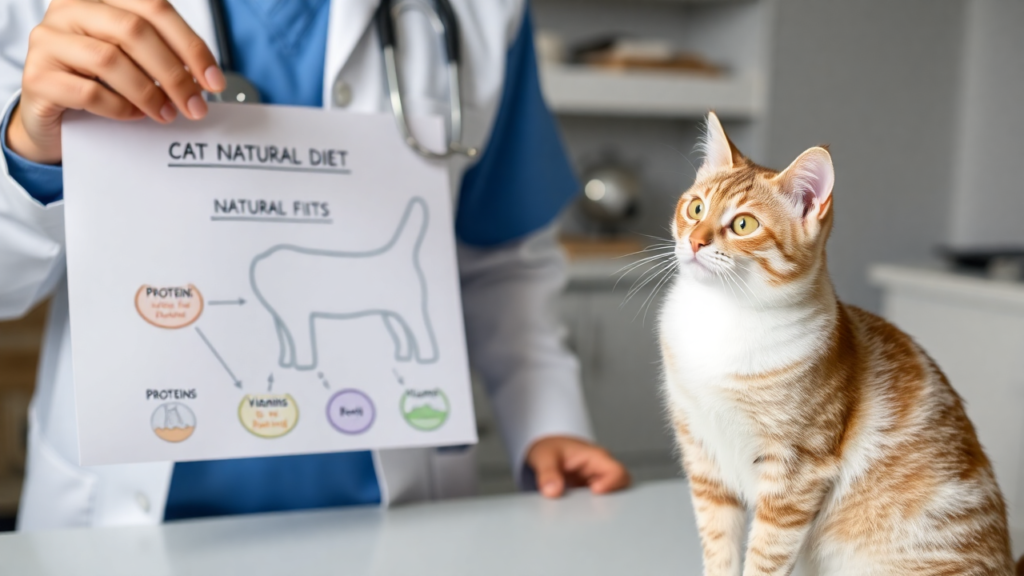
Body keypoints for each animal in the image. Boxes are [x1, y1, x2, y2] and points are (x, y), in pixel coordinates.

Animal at [659, 113, 1011, 573]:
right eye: (696, 207)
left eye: (744, 224)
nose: (695, 241)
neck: (723, 315)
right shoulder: (703, 457)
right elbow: (719, 548)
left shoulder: (796, 472)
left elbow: (765, 556)